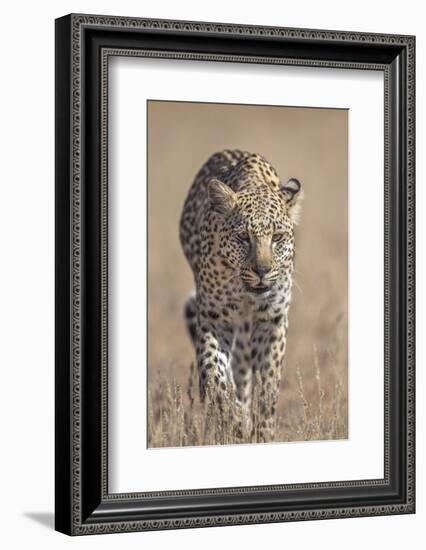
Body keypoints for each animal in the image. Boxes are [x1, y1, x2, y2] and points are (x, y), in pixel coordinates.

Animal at [180, 151, 302, 444]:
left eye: (277, 237)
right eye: (243, 237)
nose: (262, 271)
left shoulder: (273, 319)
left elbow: (268, 383)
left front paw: (263, 432)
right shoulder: (214, 318)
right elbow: (215, 375)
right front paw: (233, 417)